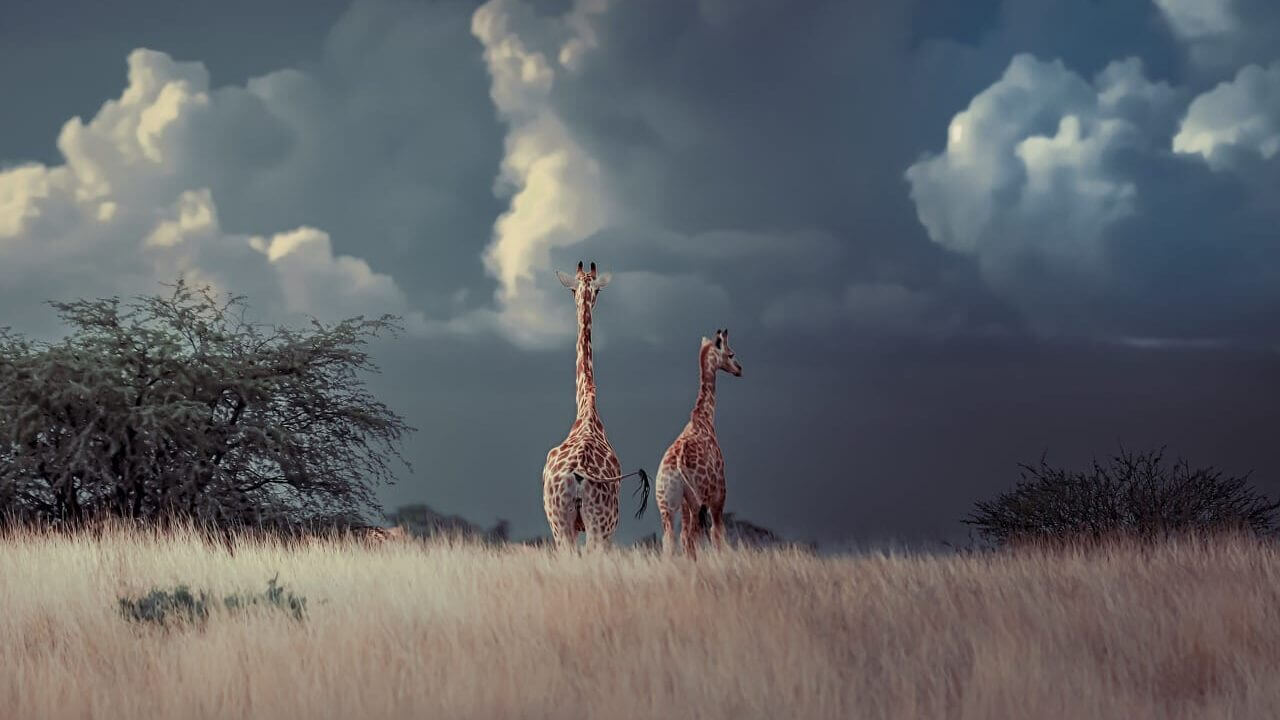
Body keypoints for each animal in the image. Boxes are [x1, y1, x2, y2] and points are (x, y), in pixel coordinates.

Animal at [542, 261, 649, 551]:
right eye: (573, 290)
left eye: (596, 290)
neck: (587, 408)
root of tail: (578, 476)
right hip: (598, 525)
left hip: (566, 524)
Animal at [655, 328, 742, 559]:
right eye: (731, 353)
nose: (740, 369)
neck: (704, 418)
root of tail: (677, 465)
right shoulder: (719, 493)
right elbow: (717, 532)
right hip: (697, 500)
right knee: (692, 537)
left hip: (667, 504)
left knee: (671, 539)